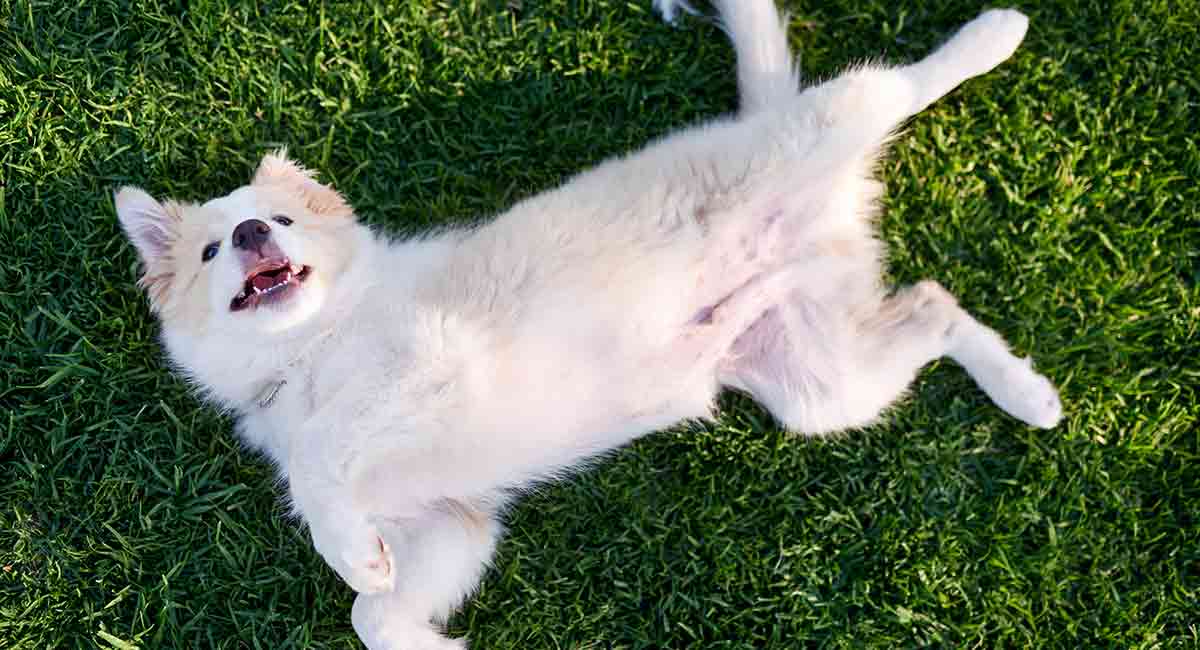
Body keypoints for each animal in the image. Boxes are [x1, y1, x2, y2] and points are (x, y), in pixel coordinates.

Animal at [117, 2, 1065, 647]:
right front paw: (421, 631)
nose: (251, 233)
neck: (307, 353)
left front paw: (344, 545)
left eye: (281, 219)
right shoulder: (452, 522)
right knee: (933, 304)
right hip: (819, 385)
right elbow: (373, 614)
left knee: (891, 84)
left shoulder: (424, 365)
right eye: (210, 251)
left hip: (814, 136)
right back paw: (1028, 393)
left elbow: (321, 469)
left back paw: (996, 33)